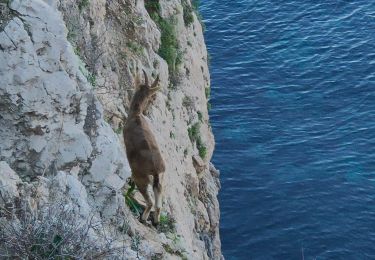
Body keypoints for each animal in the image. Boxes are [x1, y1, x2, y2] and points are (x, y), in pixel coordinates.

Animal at [124, 70, 165, 224]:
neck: (136, 115)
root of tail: (156, 172)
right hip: (159, 183)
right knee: (158, 205)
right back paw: (155, 222)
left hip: (141, 178)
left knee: (150, 202)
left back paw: (143, 218)